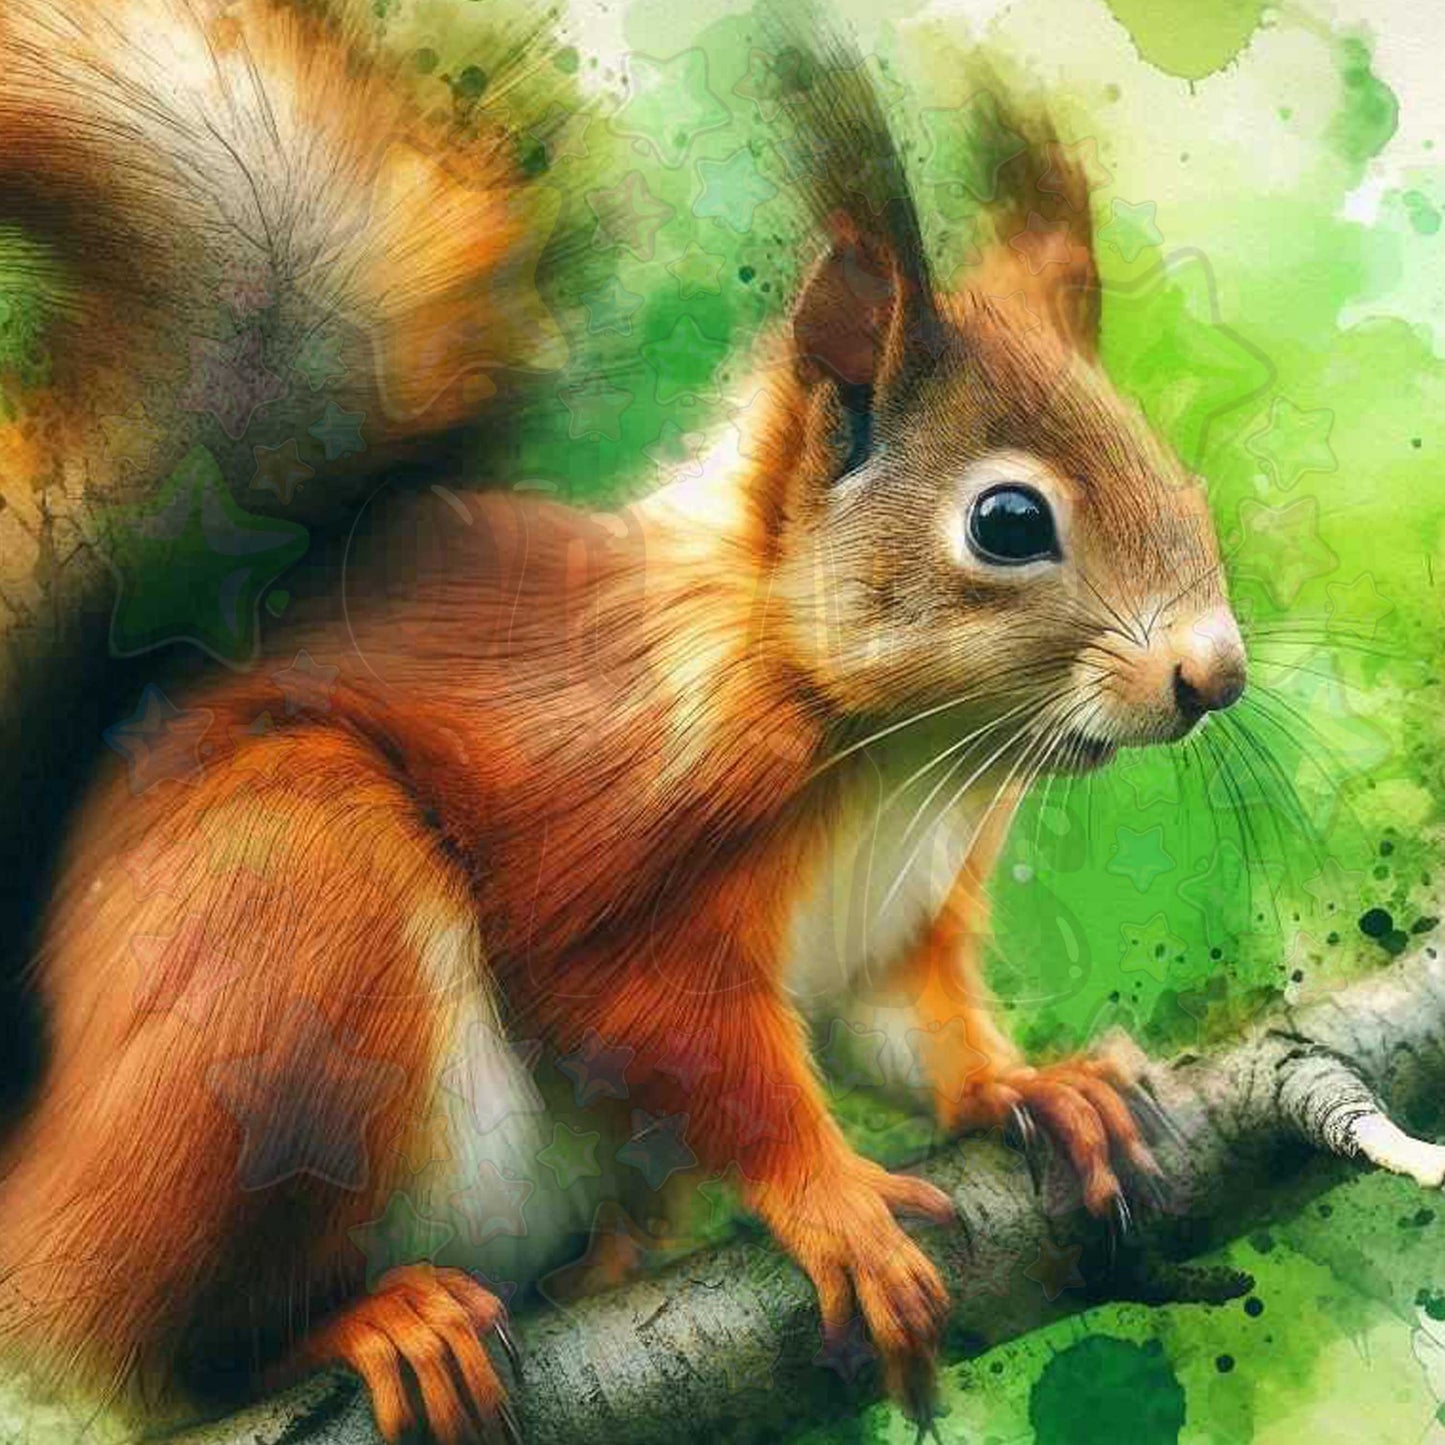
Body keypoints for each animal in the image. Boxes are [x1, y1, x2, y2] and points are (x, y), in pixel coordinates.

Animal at [0, 5, 1249, 1443]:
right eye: (1007, 521)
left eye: (1184, 481)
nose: (1214, 675)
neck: (905, 760)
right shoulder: (620, 854)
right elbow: (686, 1043)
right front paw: (837, 1202)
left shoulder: (898, 926)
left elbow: (911, 1023)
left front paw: (1033, 1085)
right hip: (288, 913)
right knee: (176, 1348)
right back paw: (376, 1320)